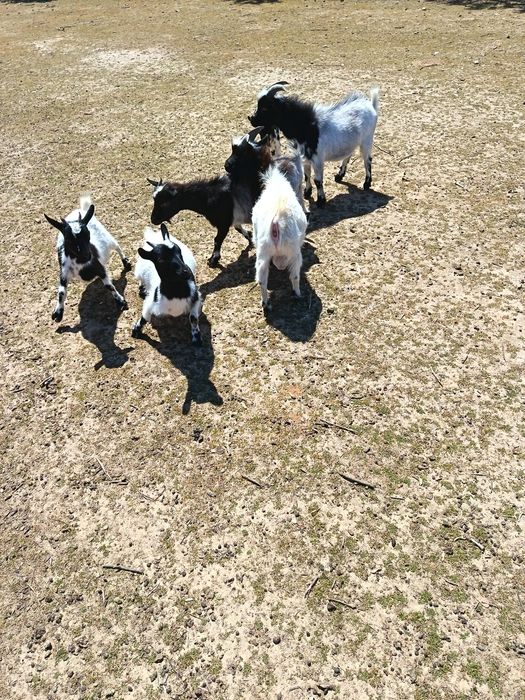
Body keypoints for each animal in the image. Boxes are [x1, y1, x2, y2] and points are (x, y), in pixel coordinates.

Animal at [249, 81, 380, 207]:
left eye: (265, 108)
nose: (251, 118)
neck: (307, 126)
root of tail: (371, 106)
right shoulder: (305, 158)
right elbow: (307, 175)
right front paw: (307, 192)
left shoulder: (317, 159)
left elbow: (318, 181)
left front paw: (321, 200)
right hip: (352, 142)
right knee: (348, 155)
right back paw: (339, 175)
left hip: (367, 140)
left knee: (367, 160)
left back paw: (367, 183)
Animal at [252, 165, 308, 311]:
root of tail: (276, 222)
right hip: (294, 253)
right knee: (295, 275)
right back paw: (298, 294)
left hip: (263, 252)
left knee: (262, 279)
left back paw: (266, 304)